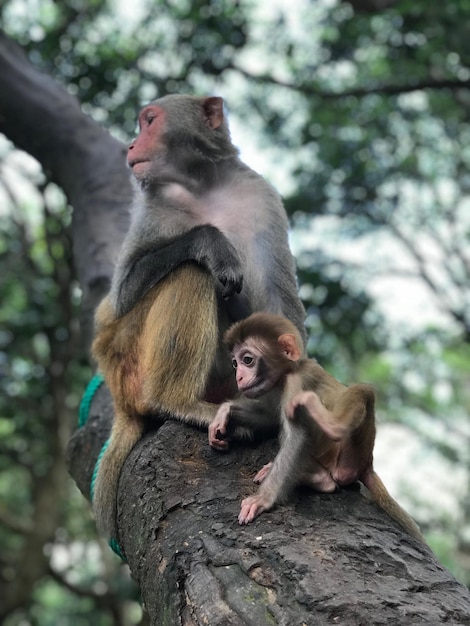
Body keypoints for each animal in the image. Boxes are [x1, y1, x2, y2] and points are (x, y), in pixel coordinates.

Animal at [91, 94, 306, 536]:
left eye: (149, 121)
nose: (131, 146)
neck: (202, 186)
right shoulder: (153, 205)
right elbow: (121, 294)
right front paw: (211, 243)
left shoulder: (260, 196)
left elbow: (277, 303)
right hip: (127, 354)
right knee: (191, 272)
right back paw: (176, 401)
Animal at [207, 312, 424, 540]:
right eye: (235, 364)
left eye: (247, 360)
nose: (239, 376)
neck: (288, 373)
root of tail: (368, 464)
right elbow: (270, 417)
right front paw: (225, 410)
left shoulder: (296, 383)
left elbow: (298, 436)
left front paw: (263, 499)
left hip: (350, 459)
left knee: (361, 393)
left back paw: (331, 432)